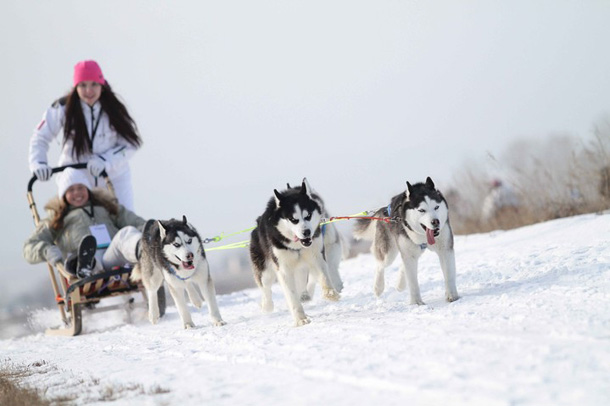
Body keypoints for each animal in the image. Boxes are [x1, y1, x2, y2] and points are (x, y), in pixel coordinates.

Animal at [249, 178, 340, 326]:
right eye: (293, 219)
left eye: (308, 216)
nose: (306, 232)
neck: (298, 248)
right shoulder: (283, 269)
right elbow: (291, 295)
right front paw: (300, 318)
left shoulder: (317, 255)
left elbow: (324, 276)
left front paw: (330, 293)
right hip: (265, 270)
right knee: (266, 288)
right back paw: (267, 306)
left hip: (301, 271)